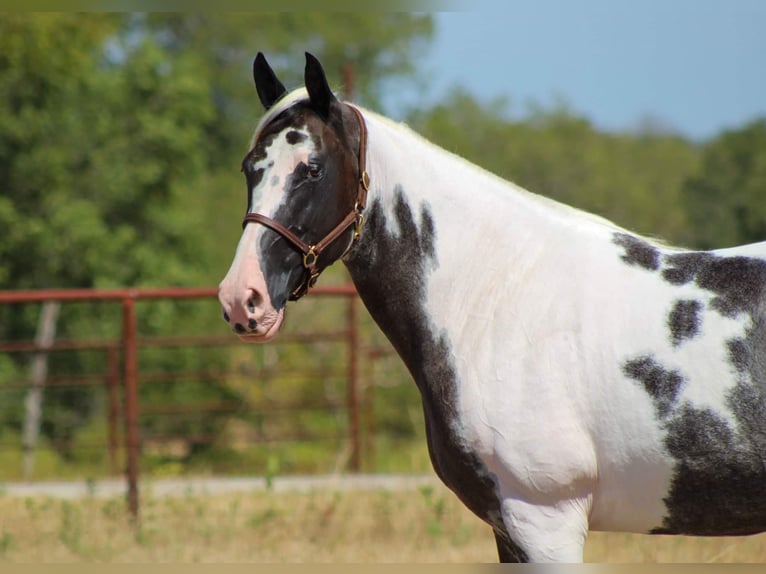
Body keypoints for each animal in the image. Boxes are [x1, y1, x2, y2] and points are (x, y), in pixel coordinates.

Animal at [218, 51, 766, 564]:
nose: (242, 298)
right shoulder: (509, 527)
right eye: (248, 169)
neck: (498, 298)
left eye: (312, 169)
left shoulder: (545, 520)